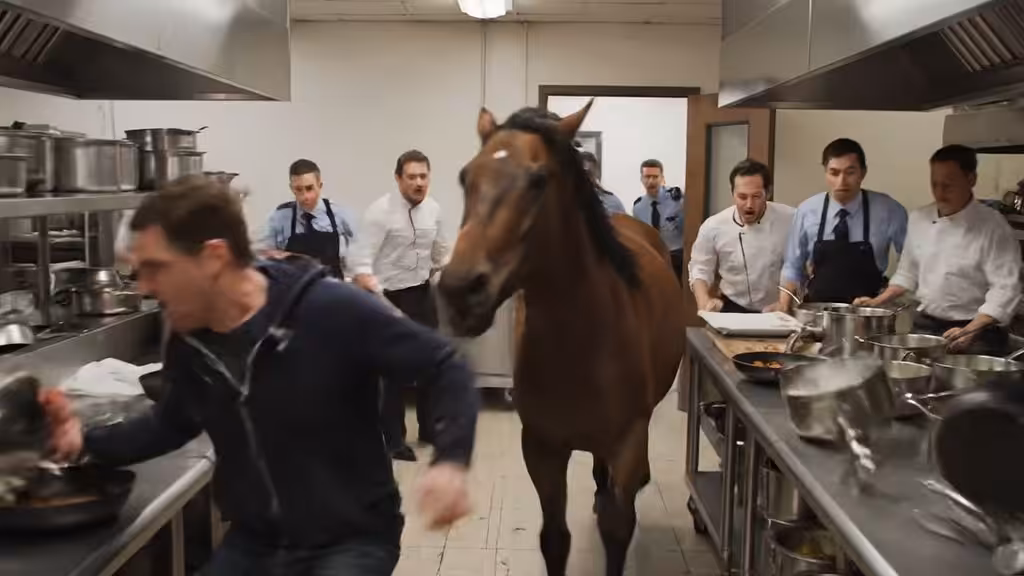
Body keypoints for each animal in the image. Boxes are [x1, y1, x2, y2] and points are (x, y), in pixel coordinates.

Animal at [437, 101, 686, 576]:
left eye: (538, 179)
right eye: (464, 176)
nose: (460, 291)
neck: (579, 344)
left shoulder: (627, 442)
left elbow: (617, 530)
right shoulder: (541, 447)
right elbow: (554, 539)